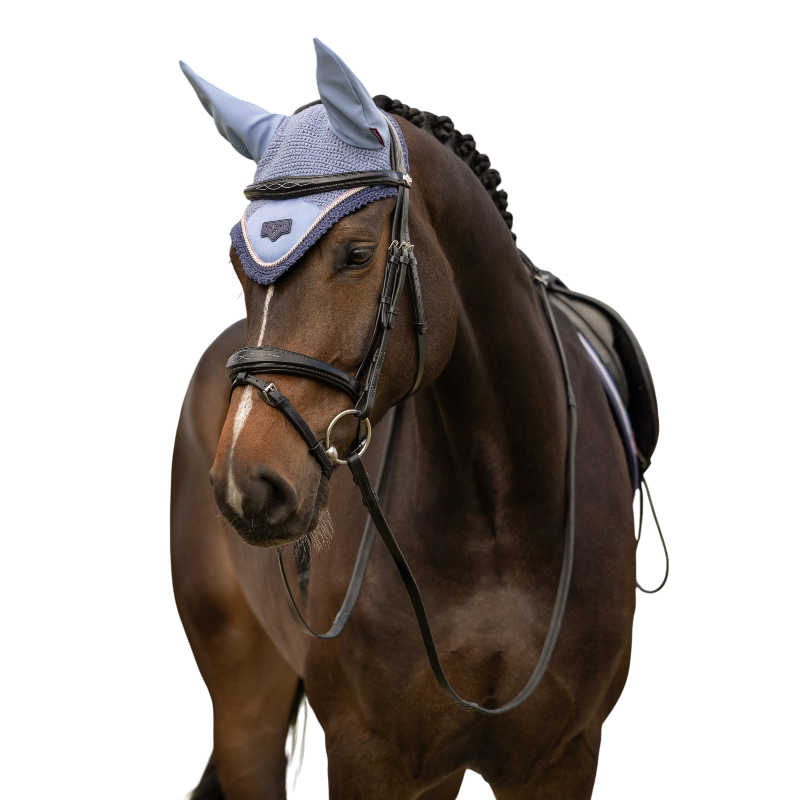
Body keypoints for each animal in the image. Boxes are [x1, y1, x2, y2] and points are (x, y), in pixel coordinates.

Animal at [171, 41, 637, 800]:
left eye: (358, 255)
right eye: (238, 267)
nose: (247, 484)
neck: (499, 517)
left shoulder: (562, 759)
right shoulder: (371, 756)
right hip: (246, 707)